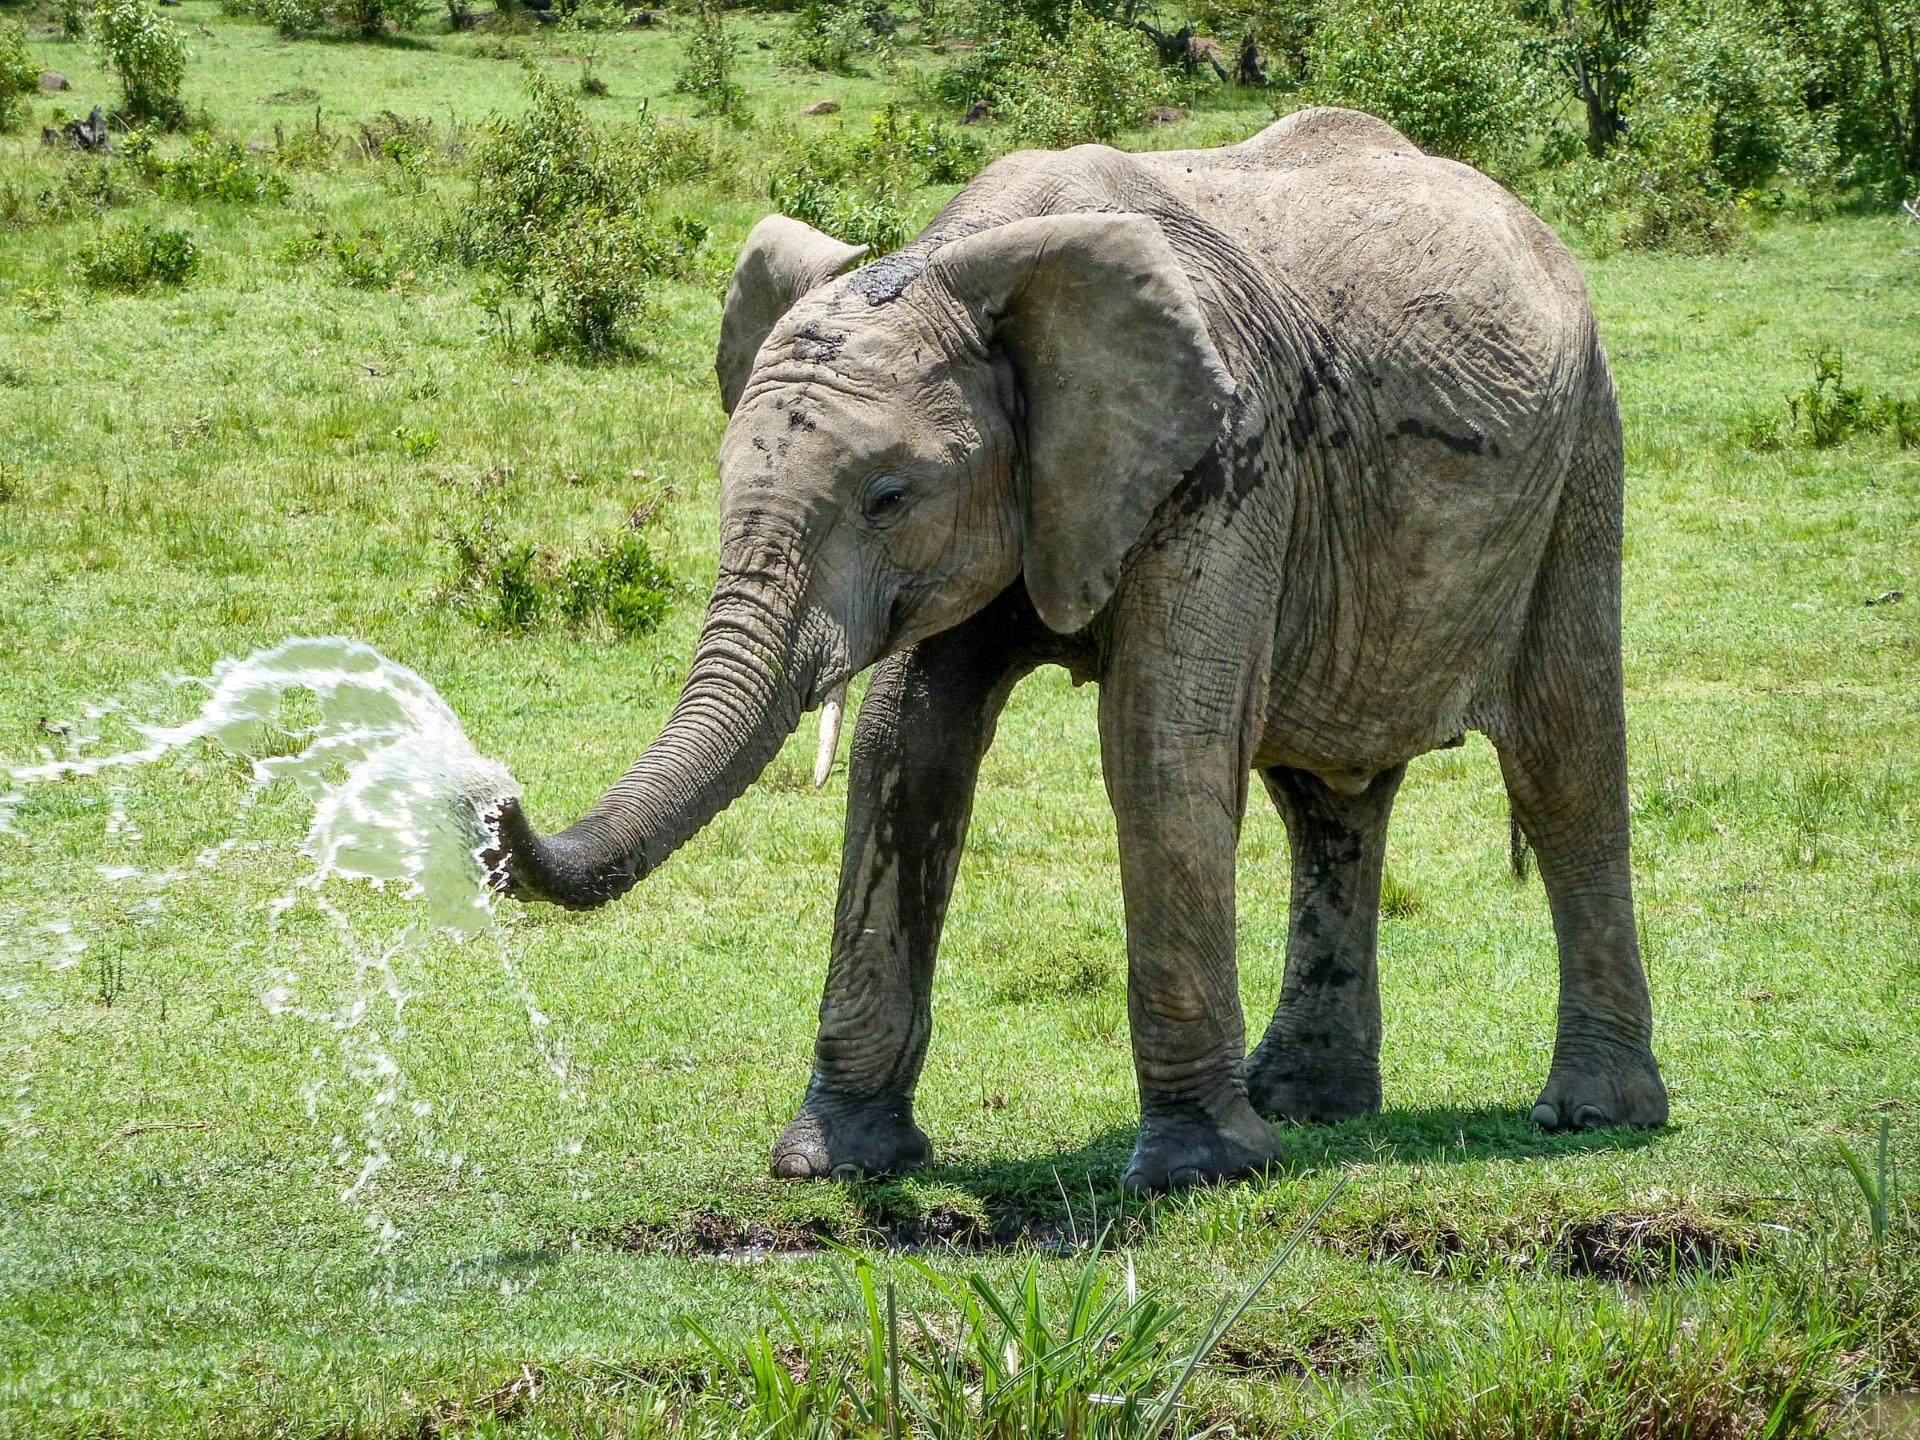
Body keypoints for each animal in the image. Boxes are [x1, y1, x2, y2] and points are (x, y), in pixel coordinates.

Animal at [487, 109, 1674, 1198]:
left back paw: (1590, 1115)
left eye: (887, 498)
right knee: (1326, 797)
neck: (972, 263)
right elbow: (907, 751)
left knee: (1565, 762)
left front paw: (1197, 1171)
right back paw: (1309, 1105)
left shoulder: (1224, 456)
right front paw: (832, 1163)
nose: (495, 797)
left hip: (1584, 451)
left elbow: (1160, 748)